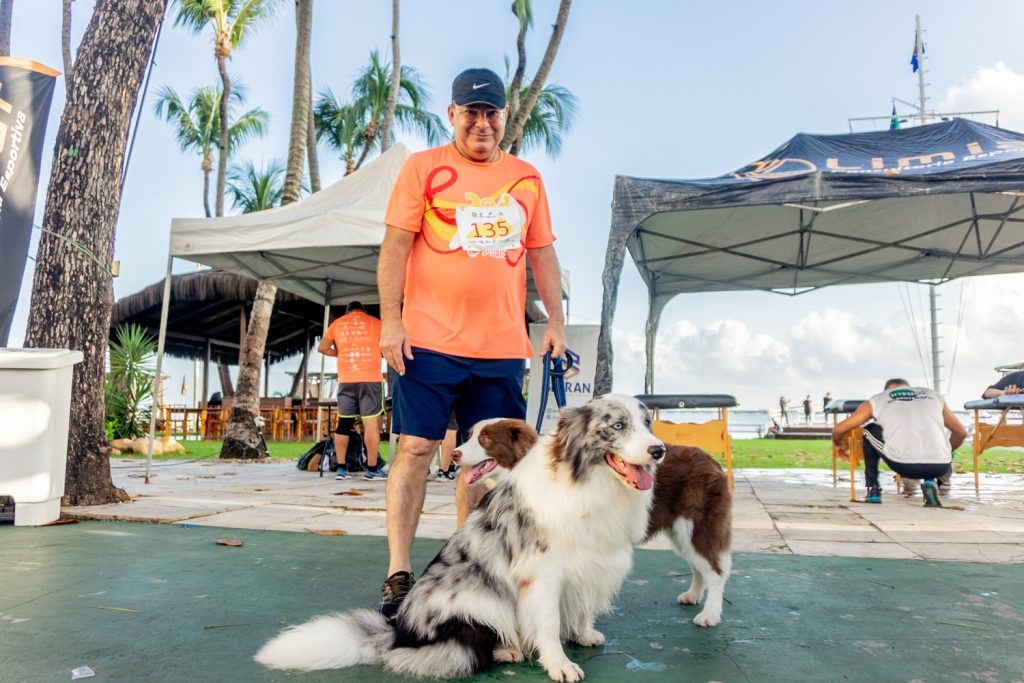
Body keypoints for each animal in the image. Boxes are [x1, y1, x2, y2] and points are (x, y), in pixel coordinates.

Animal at [454, 417, 729, 626]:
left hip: (696, 527)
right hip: (681, 532)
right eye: (470, 435)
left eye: (486, 440)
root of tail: (711, 460)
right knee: (699, 566)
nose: (455, 454)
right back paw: (693, 595)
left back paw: (710, 615)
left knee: (715, 571)